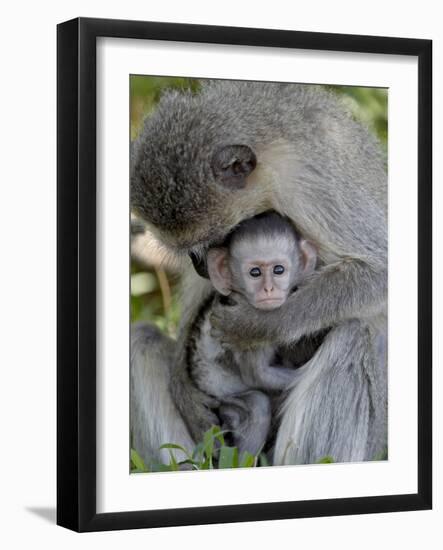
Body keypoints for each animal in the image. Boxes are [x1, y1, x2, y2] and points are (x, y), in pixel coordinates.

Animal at [186, 211, 318, 458]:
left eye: (278, 270)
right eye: (254, 273)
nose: (268, 289)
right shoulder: (248, 329)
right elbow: (258, 376)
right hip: (224, 400)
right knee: (258, 405)